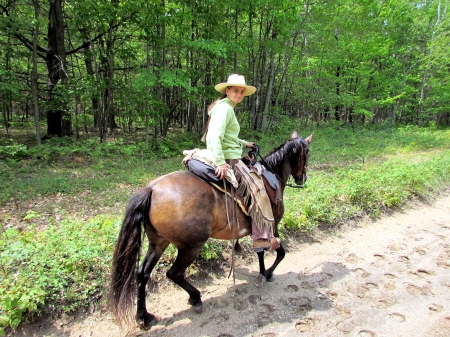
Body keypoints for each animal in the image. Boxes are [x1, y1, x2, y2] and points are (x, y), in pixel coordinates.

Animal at [109, 130, 312, 330]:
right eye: (308, 153)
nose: (302, 179)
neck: (272, 175)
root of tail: (151, 189)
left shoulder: (259, 229)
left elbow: (260, 252)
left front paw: (263, 272)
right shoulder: (272, 225)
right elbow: (280, 252)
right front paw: (268, 273)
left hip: (158, 242)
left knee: (142, 273)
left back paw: (144, 316)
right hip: (191, 246)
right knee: (174, 273)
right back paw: (196, 297)